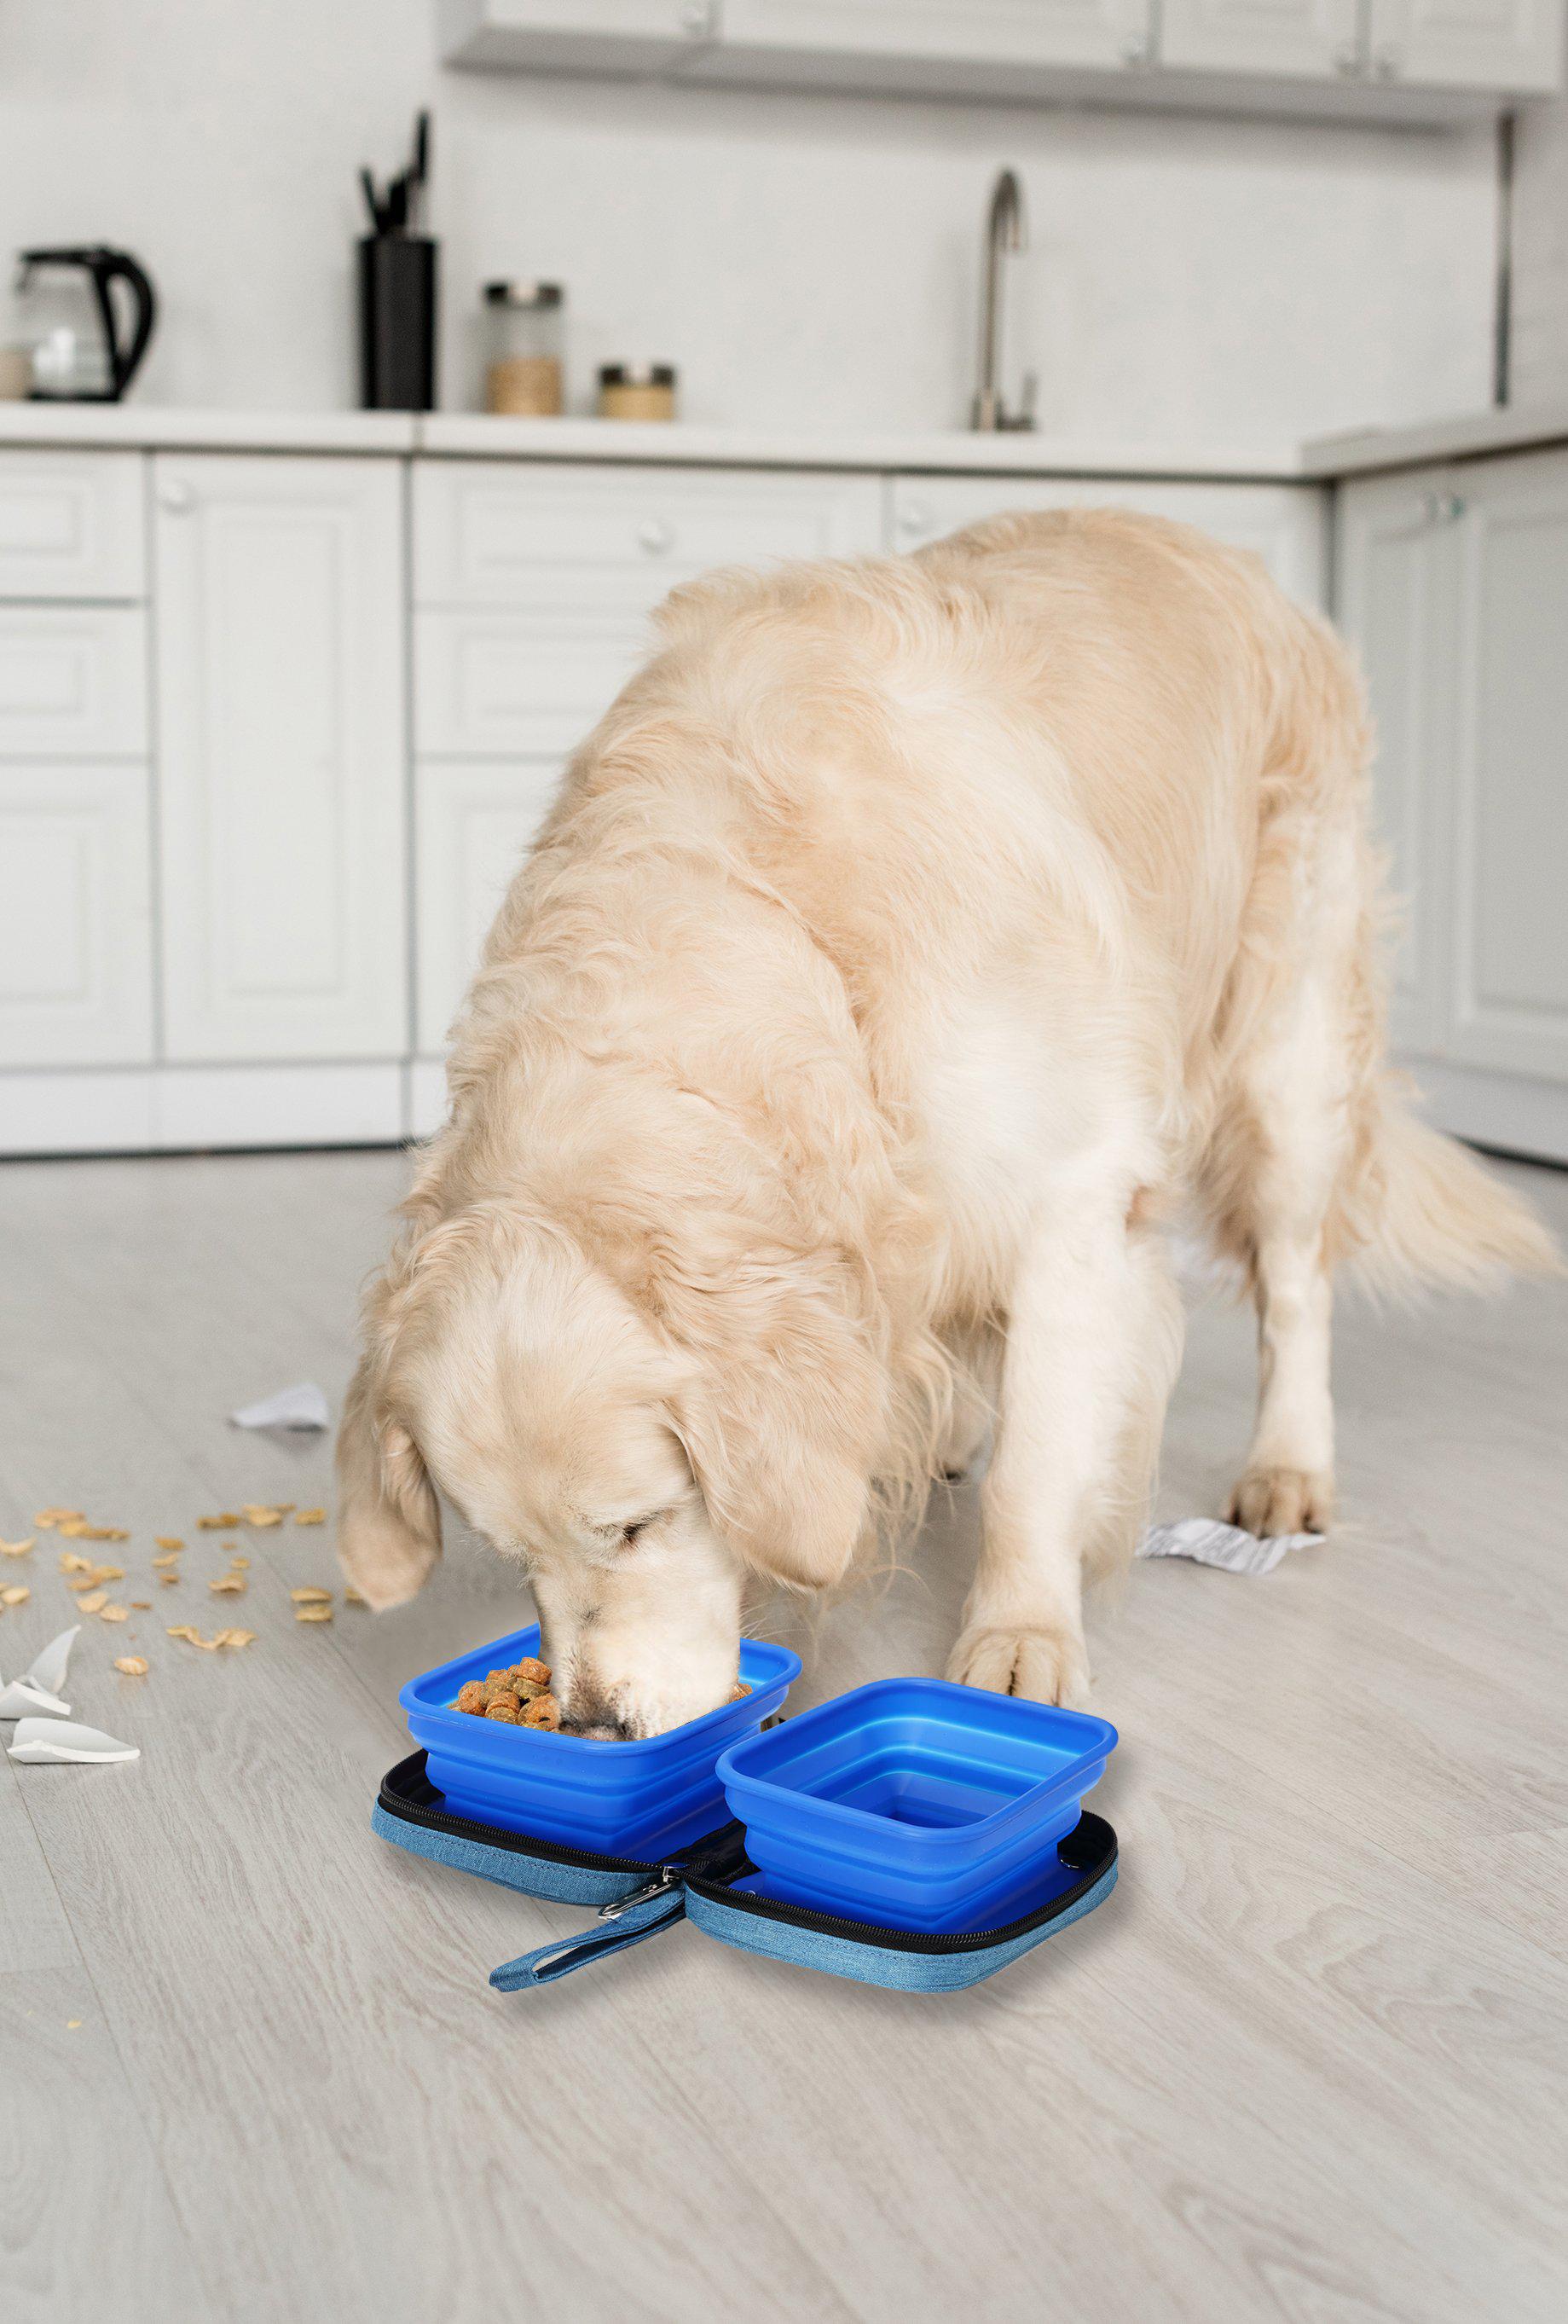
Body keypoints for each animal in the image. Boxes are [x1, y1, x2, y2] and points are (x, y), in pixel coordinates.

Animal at [334, 518, 1560, 1738]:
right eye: (510, 1557)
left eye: (636, 1524)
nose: (592, 1724)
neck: (779, 927)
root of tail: (1225, 550)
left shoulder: (1073, 1195)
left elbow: (1040, 1461)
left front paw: (1020, 1637)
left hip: (1285, 1047)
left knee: (1296, 1284)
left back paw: (1287, 1468)